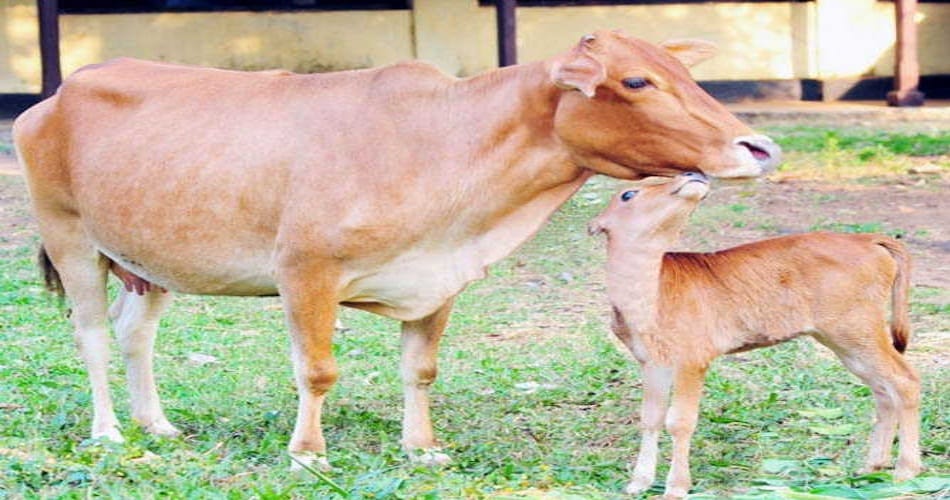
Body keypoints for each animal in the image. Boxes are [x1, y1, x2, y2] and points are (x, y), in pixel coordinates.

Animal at [13, 30, 780, 469]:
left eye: (680, 74)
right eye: (637, 81)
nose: (759, 147)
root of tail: (58, 92)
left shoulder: (439, 278)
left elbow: (420, 369)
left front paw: (423, 448)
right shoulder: (305, 271)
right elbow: (318, 370)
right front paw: (309, 455)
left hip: (147, 261)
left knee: (134, 332)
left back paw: (158, 423)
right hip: (70, 236)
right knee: (91, 336)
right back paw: (111, 432)